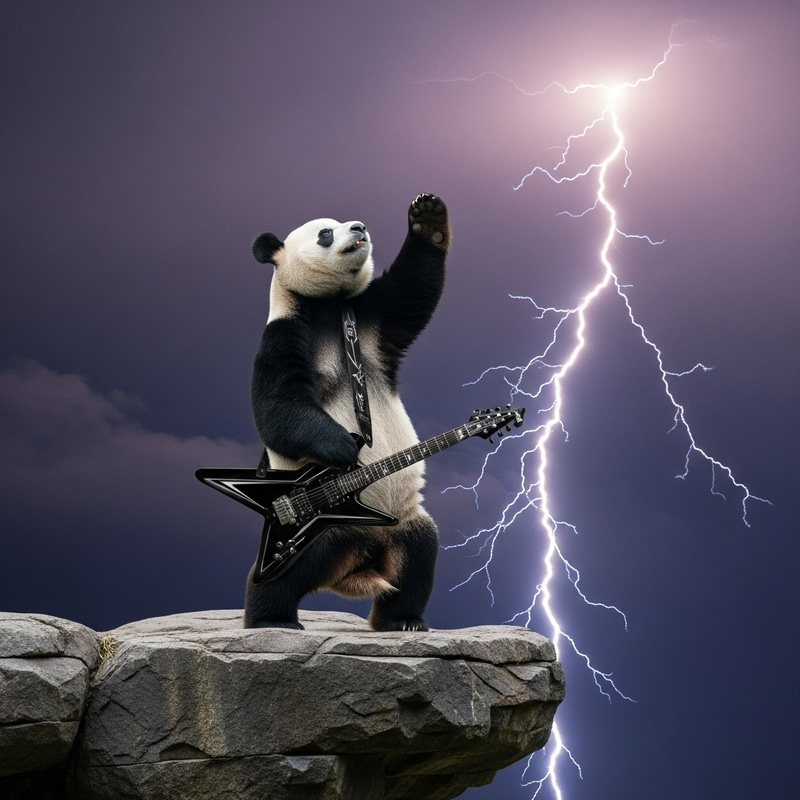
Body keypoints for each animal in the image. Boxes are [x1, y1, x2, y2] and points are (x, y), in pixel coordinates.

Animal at [245, 193, 450, 631]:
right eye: (325, 233)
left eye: (348, 222)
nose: (359, 227)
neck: (326, 305)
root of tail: (356, 561)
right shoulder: (284, 333)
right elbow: (278, 405)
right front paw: (342, 447)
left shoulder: (372, 317)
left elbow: (413, 292)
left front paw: (427, 217)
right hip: (320, 529)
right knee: (287, 570)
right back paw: (271, 619)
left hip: (403, 521)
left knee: (420, 552)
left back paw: (403, 621)